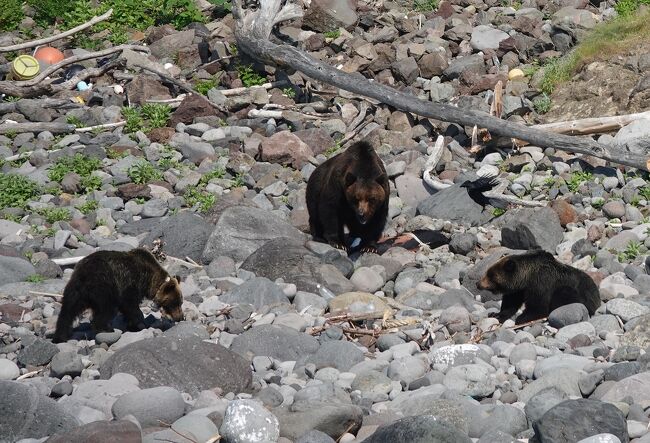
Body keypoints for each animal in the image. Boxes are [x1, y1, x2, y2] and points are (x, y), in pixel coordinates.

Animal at [51, 250, 184, 344]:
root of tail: (84, 274)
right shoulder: (130, 285)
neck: (150, 280)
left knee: (67, 312)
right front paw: (138, 324)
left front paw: (132, 324)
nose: (180, 317)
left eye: (180, 302)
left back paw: (60, 337)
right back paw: (105, 328)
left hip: (74, 291)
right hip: (104, 287)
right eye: (175, 302)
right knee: (106, 309)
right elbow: (131, 306)